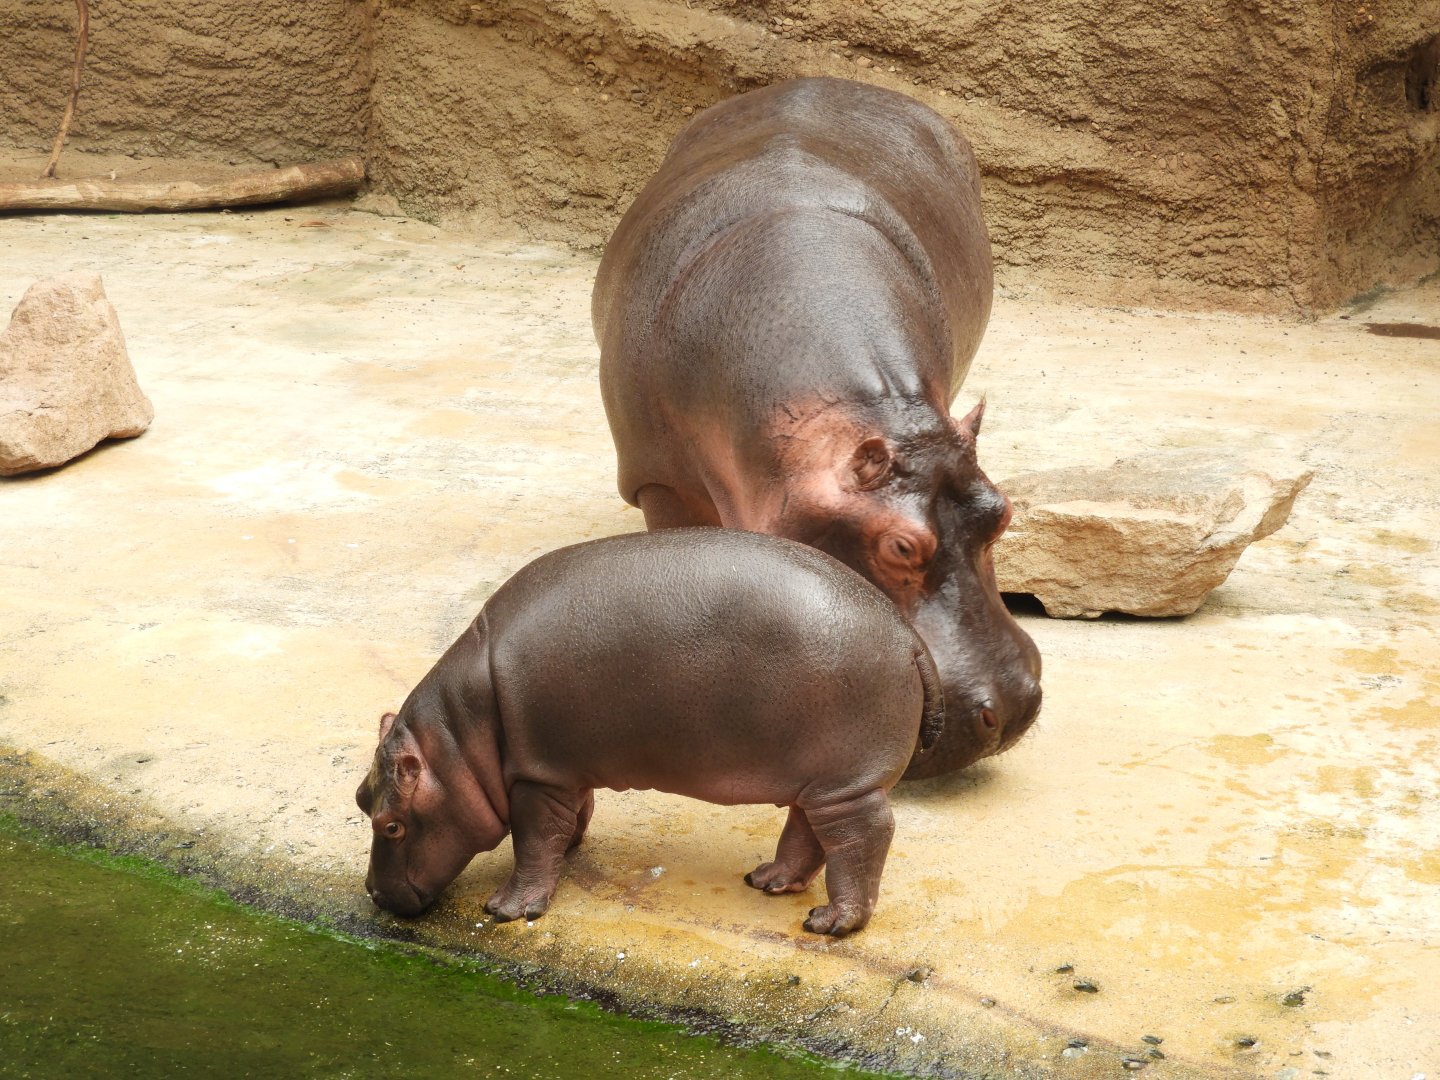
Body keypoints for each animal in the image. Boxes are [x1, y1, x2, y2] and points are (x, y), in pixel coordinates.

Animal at [356, 528, 943, 937]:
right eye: (361, 797)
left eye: (390, 825)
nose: (374, 895)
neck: (459, 740)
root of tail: (908, 636)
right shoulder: (563, 766)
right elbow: (570, 818)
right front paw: (572, 848)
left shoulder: (537, 775)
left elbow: (533, 840)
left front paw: (508, 909)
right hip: (819, 778)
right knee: (807, 829)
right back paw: (769, 881)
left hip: (848, 782)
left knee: (862, 836)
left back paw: (830, 922)